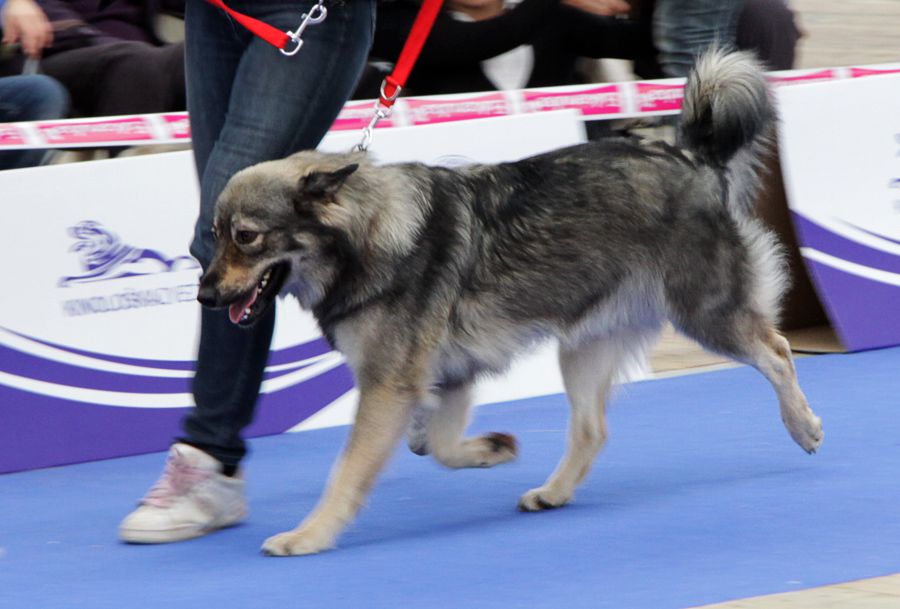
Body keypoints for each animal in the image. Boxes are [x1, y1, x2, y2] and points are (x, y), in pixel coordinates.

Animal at [200, 51, 828, 556]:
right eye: (214, 234)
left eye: (247, 237)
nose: (206, 295)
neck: (368, 235)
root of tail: (690, 158)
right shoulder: (442, 379)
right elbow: (439, 447)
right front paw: (491, 449)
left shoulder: (387, 388)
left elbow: (347, 471)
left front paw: (309, 535)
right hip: (583, 349)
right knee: (592, 430)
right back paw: (553, 492)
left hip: (706, 314)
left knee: (776, 351)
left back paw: (803, 425)